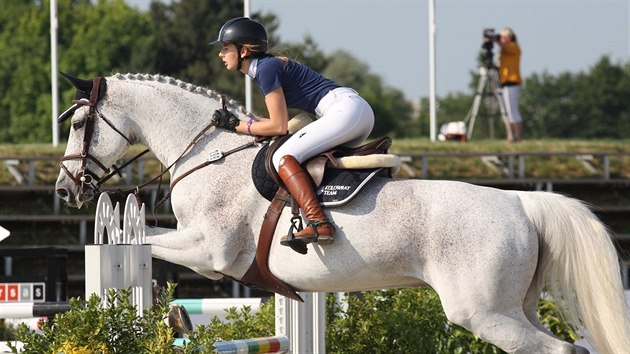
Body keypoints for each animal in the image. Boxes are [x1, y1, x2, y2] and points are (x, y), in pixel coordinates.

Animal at [55, 73, 630, 352]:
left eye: (80, 123)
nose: (63, 190)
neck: (208, 151)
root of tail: (521, 200)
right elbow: (144, 245)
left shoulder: (207, 251)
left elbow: (139, 241)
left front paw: (165, 311)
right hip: (517, 307)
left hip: (486, 314)